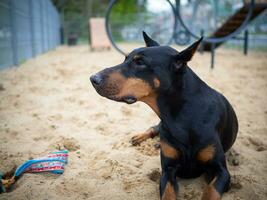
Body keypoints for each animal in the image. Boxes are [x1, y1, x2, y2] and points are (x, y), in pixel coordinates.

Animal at [90, 32, 239, 199]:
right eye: (125, 58)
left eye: (140, 62)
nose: (93, 78)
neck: (180, 117)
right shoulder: (168, 170)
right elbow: (167, 193)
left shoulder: (221, 171)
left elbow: (211, 191)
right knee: (154, 128)